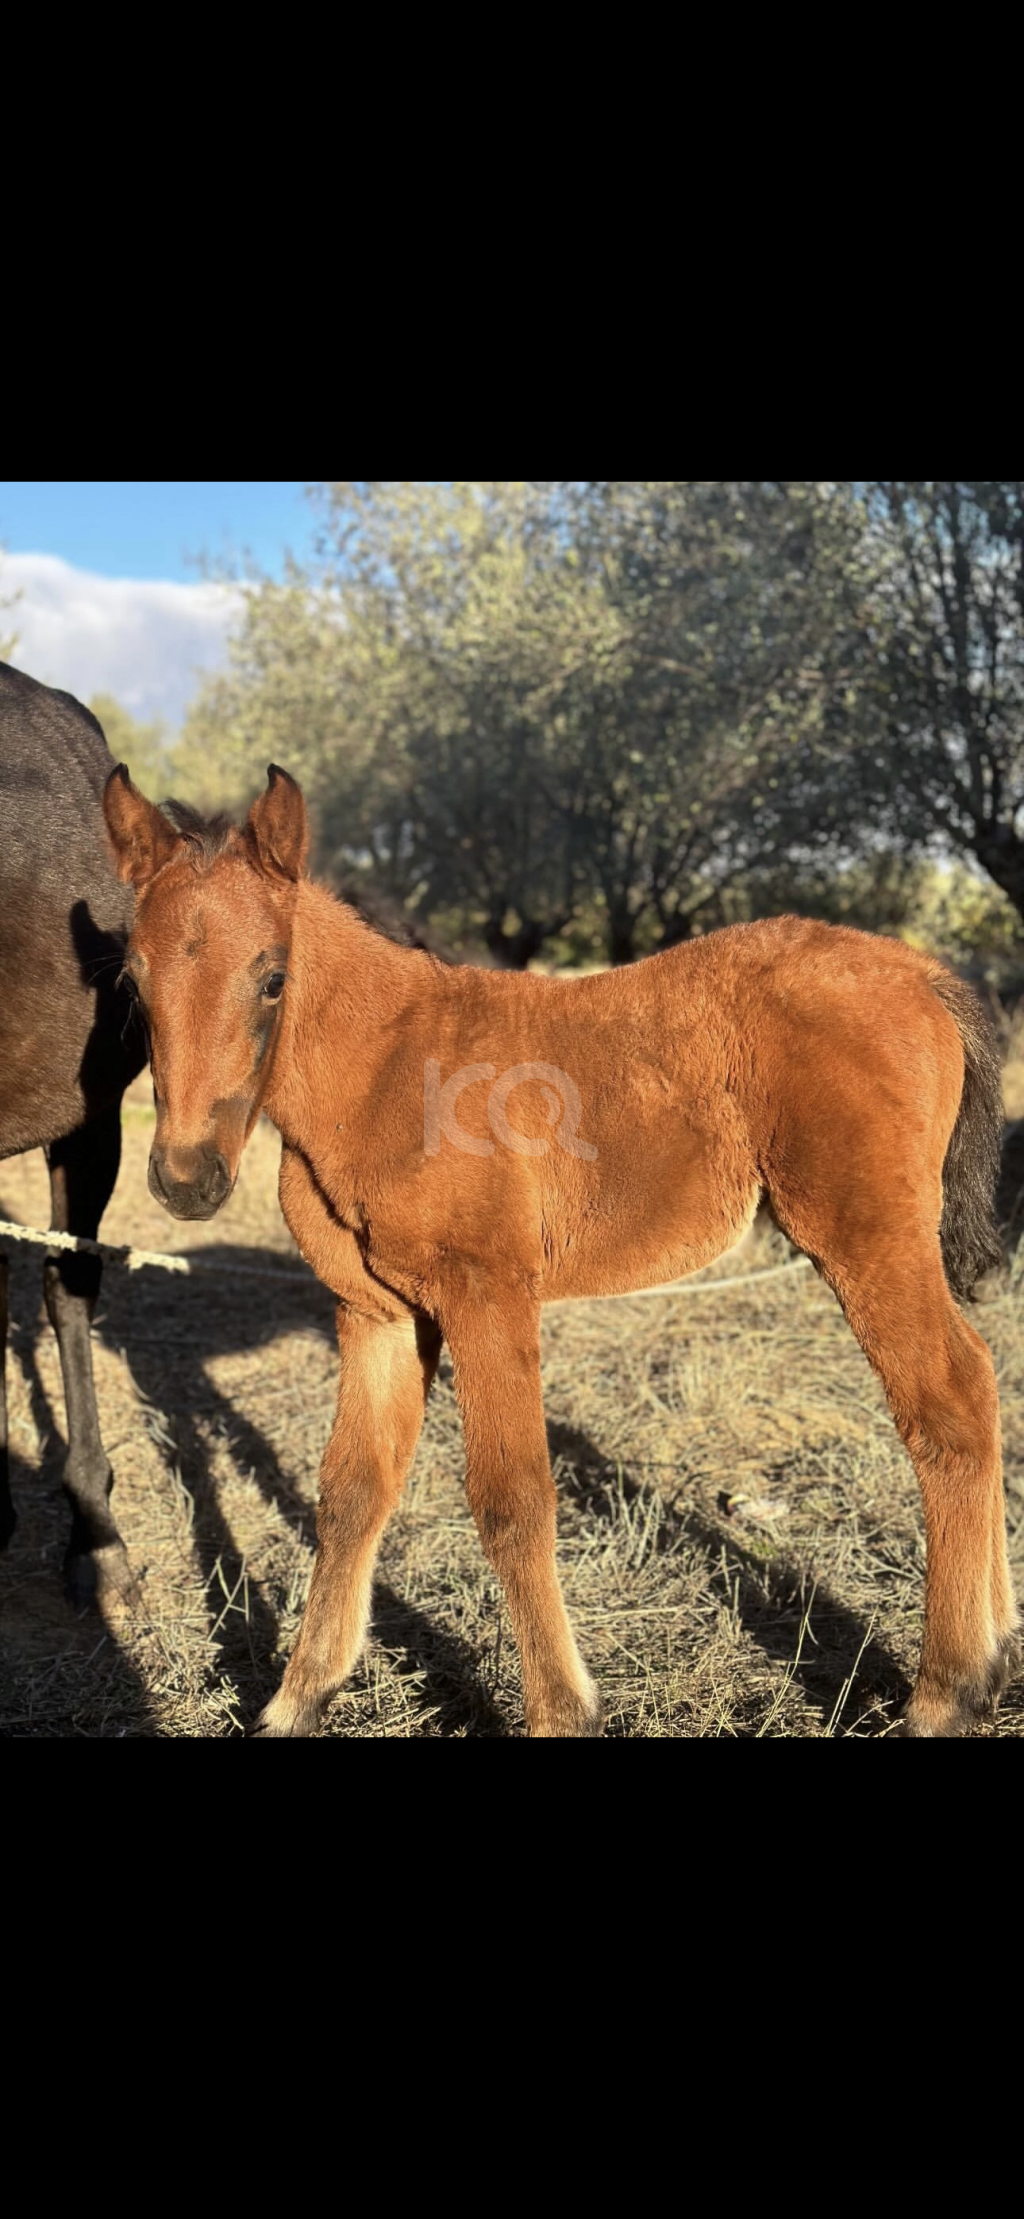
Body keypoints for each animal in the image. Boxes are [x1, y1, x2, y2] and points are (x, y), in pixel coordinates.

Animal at [101, 772, 1012, 1739]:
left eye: (273, 977)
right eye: (133, 979)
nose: (187, 1178)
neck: (390, 1069)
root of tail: (921, 972)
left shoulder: (488, 1294)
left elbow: (512, 1499)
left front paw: (560, 1708)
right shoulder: (377, 1312)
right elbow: (351, 1493)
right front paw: (299, 1695)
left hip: (864, 1235)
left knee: (950, 1403)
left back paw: (950, 1689)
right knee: (983, 1382)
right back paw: (996, 1657)